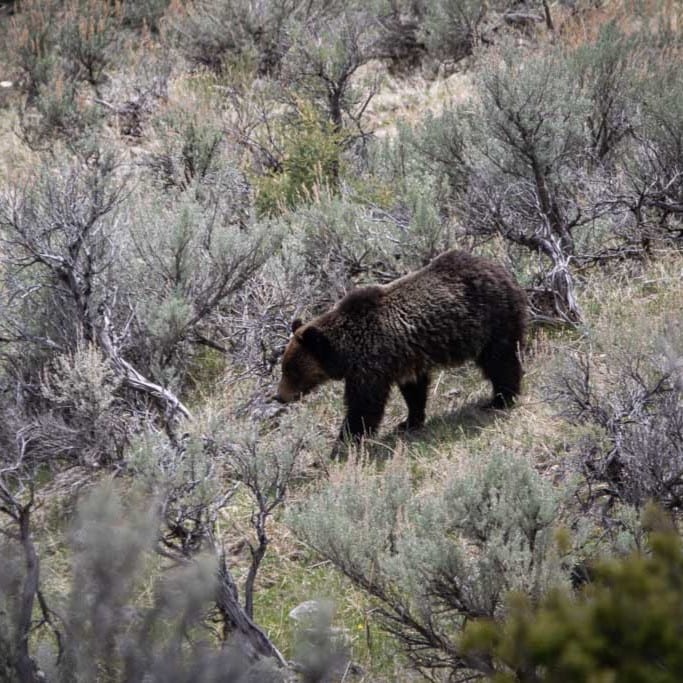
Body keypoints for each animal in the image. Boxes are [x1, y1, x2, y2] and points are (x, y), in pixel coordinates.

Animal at [278, 251, 528, 444]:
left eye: (291, 370)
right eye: (285, 368)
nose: (279, 396)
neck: (345, 352)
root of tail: (501, 269)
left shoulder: (371, 365)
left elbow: (364, 406)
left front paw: (345, 441)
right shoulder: (404, 360)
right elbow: (414, 392)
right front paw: (408, 422)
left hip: (492, 321)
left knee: (499, 360)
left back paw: (501, 399)